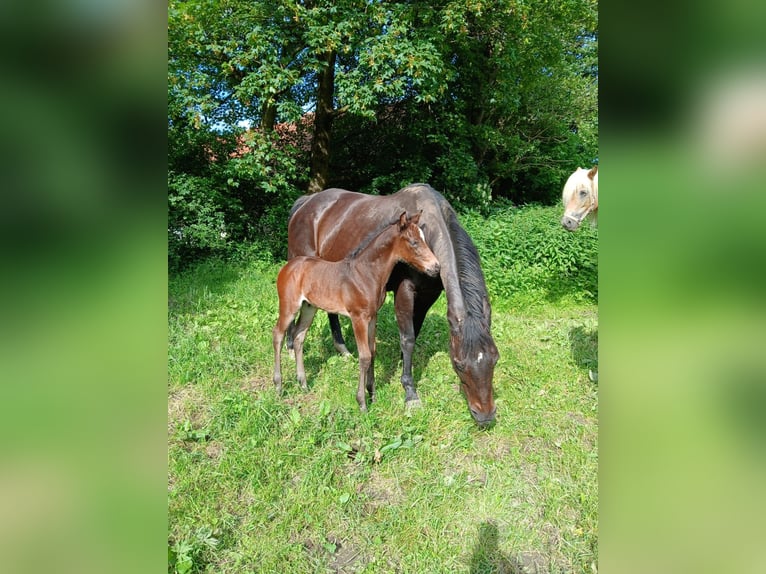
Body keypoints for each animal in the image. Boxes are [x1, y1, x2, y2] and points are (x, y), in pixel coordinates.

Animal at [273, 211, 441, 412]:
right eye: (414, 242)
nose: (436, 267)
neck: (366, 274)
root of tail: (287, 266)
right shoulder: (358, 318)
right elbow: (364, 355)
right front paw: (362, 403)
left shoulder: (372, 316)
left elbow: (373, 351)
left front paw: (372, 395)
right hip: (289, 307)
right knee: (278, 334)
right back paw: (278, 385)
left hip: (308, 308)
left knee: (299, 337)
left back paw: (303, 383)